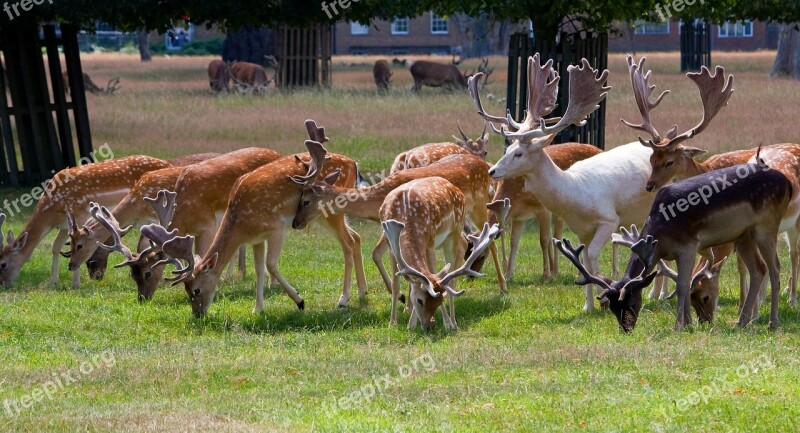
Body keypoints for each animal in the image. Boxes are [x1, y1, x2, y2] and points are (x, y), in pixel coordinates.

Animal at [468, 53, 656, 310]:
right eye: (508, 148)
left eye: (519, 154)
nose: (492, 171)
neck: (573, 193)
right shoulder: (581, 230)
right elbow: (584, 261)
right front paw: (588, 306)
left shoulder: (609, 219)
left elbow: (593, 256)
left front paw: (605, 297)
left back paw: (657, 294)